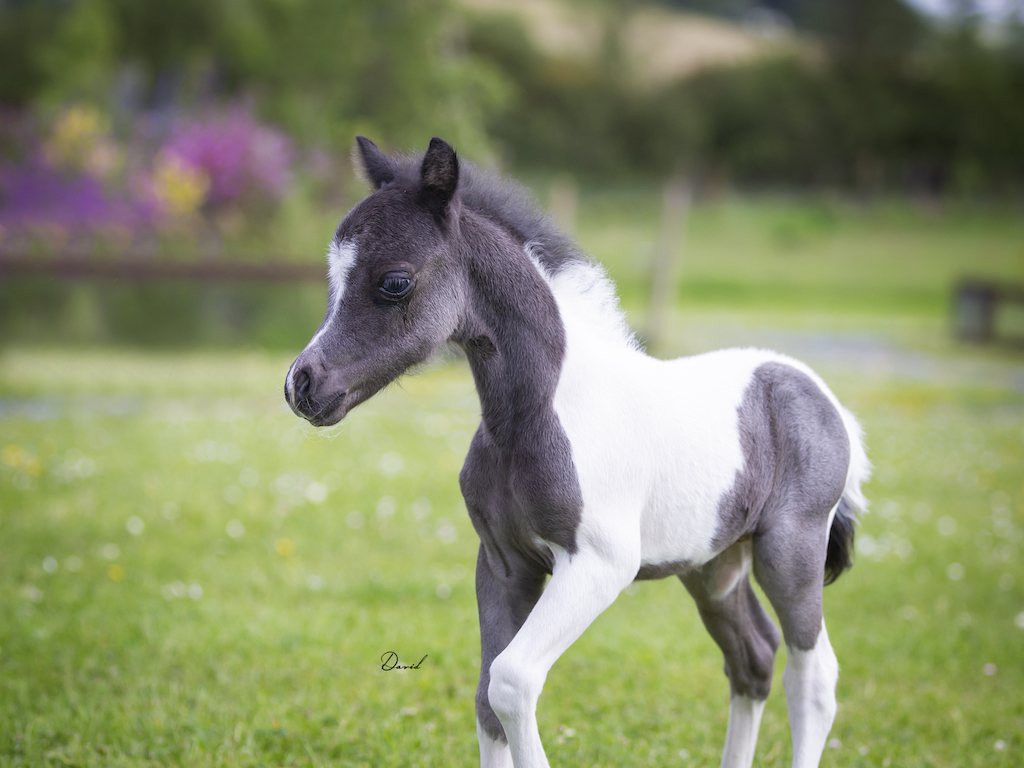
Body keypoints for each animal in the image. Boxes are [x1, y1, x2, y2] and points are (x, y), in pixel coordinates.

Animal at [284, 136, 870, 768]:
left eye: (394, 281)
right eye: (332, 276)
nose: (301, 385)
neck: (537, 414)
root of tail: (823, 397)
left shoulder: (599, 563)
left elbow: (510, 682)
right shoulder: (503, 564)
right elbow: (485, 698)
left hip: (790, 551)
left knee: (813, 677)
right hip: (714, 564)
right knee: (753, 658)